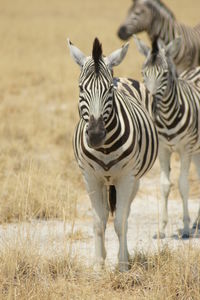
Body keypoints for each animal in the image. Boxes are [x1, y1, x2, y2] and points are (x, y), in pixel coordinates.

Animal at [68, 37, 159, 272]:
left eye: (108, 89)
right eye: (80, 88)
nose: (96, 135)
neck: (106, 147)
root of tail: (122, 77)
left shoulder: (126, 177)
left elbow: (120, 222)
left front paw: (123, 265)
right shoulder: (90, 178)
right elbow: (98, 222)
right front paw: (98, 264)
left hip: (135, 179)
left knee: (124, 215)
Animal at [134, 35, 200, 238]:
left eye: (164, 74)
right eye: (143, 72)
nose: (150, 101)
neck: (168, 117)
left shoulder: (186, 148)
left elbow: (183, 184)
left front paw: (185, 228)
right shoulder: (163, 149)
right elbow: (164, 185)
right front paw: (162, 228)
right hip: (197, 151)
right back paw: (198, 222)